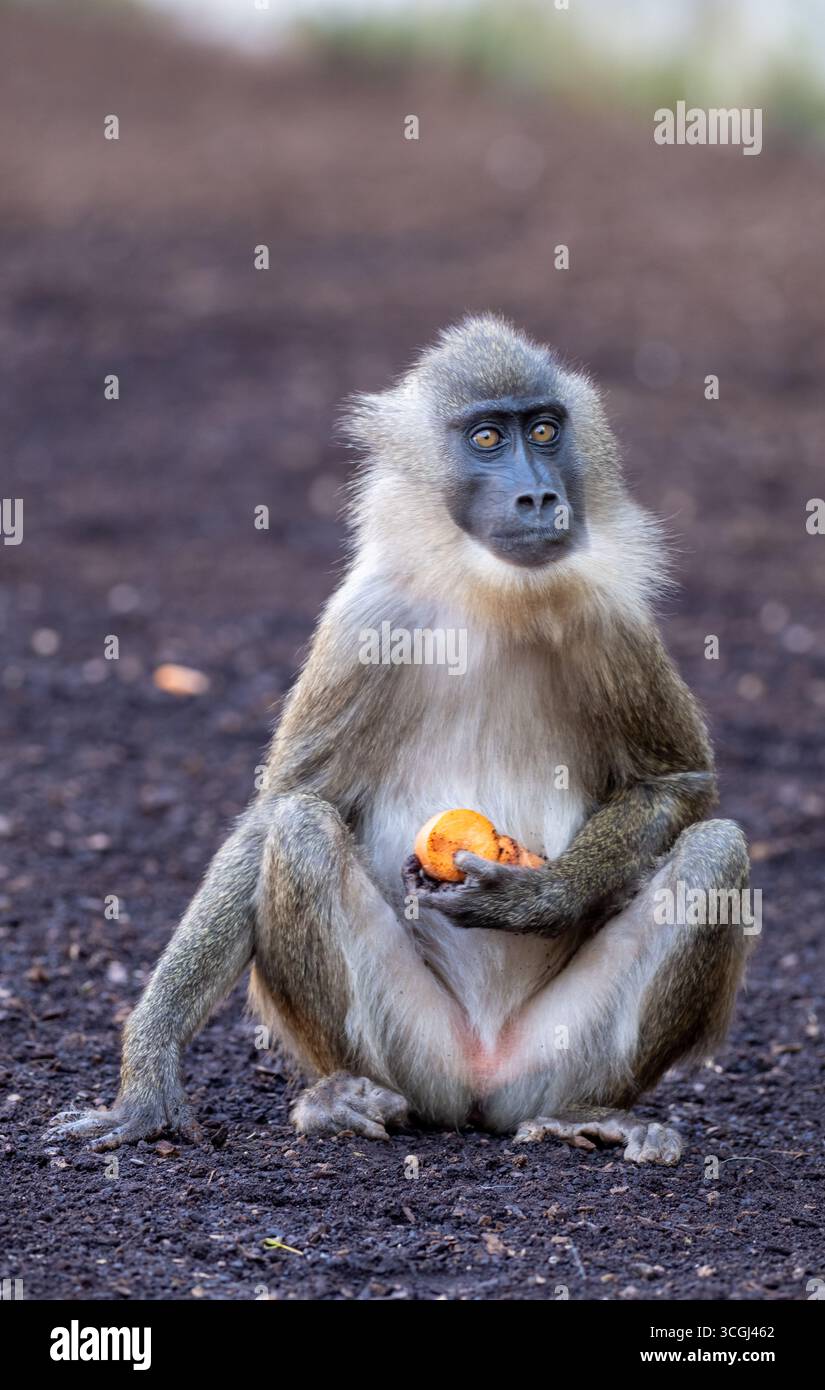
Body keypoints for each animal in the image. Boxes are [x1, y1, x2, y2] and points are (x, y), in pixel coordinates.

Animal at [48, 315, 753, 1165]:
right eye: (486, 437)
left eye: (543, 431)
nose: (539, 494)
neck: (488, 596)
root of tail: (481, 1083)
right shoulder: (367, 621)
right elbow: (285, 805)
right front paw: (147, 1076)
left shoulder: (611, 619)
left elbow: (679, 784)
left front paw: (541, 897)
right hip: (416, 1055)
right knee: (301, 831)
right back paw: (342, 1099)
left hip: (554, 1056)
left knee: (716, 851)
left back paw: (586, 1112)